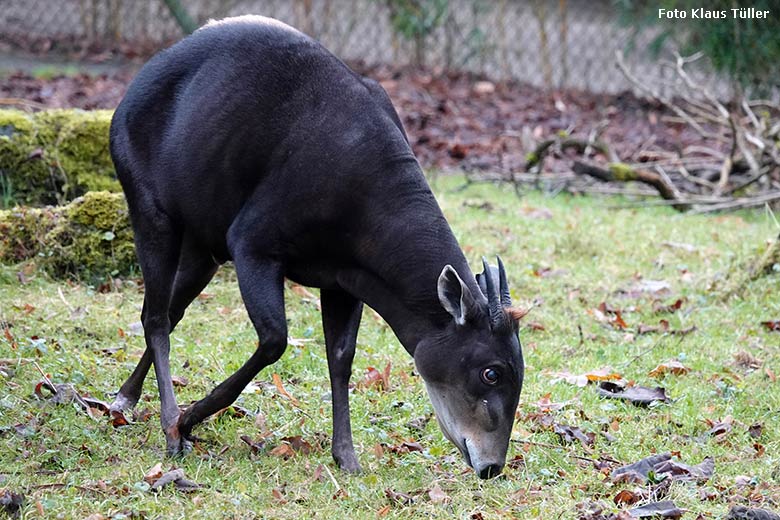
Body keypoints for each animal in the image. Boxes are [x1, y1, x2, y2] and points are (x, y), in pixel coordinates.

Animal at [108, 16, 524, 480]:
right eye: (492, 373)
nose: (492, 466)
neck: (360, 190)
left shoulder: (345, 278)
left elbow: (341, 356)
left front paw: (347, 457)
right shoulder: (253, 244)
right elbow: (275, 339)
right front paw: (188, 419)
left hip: (204, 247)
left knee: (170, 309)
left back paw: (125, 399)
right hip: (151, 210)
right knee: (156, 316)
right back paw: (167, 425)